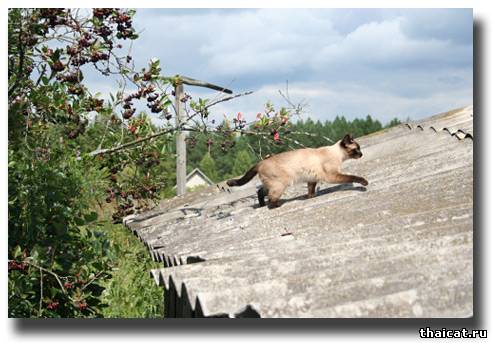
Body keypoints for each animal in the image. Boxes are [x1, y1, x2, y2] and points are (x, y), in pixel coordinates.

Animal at [225, 134, 368, 208]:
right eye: (357, 149)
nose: (361, 154)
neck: (338, 155)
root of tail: (260, 162)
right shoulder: (332, 176)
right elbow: (353, 177)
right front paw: (364, 184)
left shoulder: (312, 178)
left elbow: (311, 189)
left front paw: (311, 197)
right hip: (280, 185)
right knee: (271, 198)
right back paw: (277, 205)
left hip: (272, 184)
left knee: (260, 191)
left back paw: (261, 205)